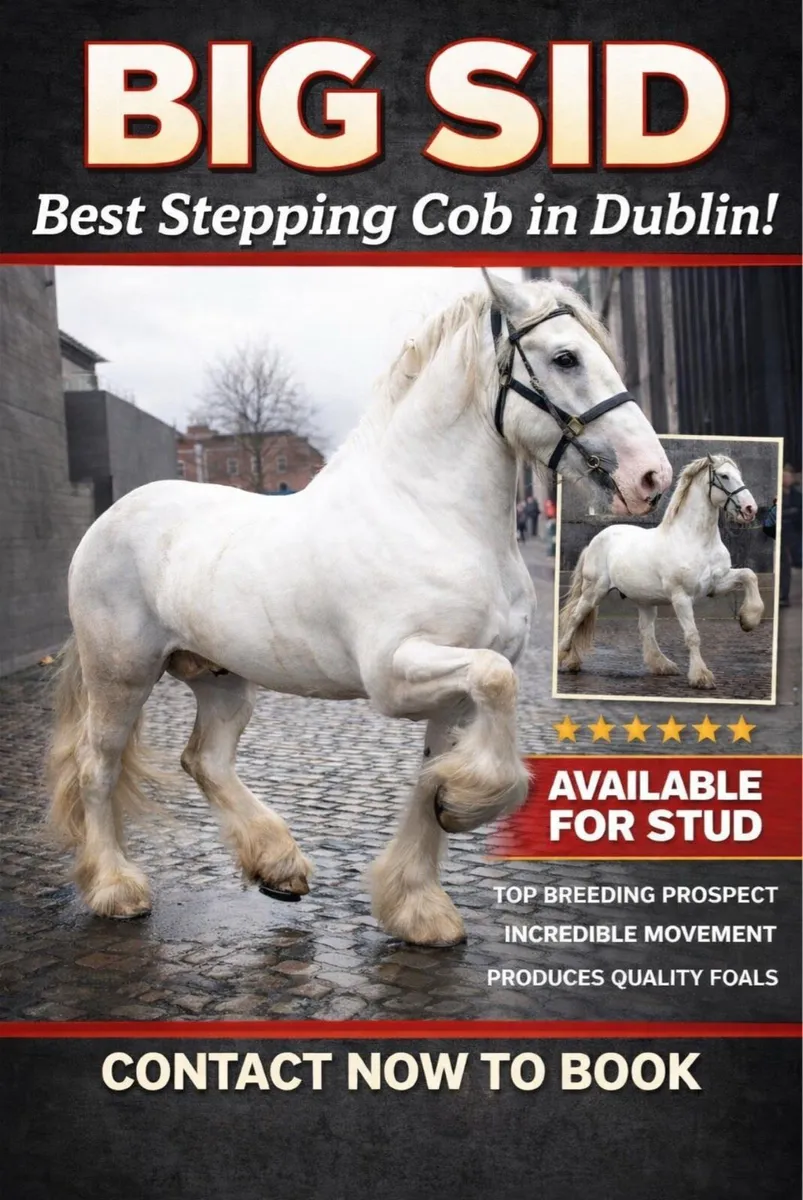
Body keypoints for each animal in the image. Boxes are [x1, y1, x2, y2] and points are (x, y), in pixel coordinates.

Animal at [47, 270, 671, 947]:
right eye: (565, 358)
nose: (652, 477)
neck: (430, 514)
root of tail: (110, 518)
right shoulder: (398, 674)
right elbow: (496, 680)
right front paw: (463, 807)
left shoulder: (451, 694)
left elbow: (435, 768)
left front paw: (420, 904)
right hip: (121, 675)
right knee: (96, 768)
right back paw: (117, 888)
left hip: (222, 678)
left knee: (204, 760)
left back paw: (278, 866)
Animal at [558, 453, 763, 691]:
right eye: (724, 476)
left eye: (739, 474)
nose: (750, 509)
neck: (695, 540)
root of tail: (594, 541)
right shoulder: (681, 596)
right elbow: (692, 635)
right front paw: (701, 677)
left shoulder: (716, 584)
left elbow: (749, 574)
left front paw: (748, 620)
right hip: (594, 592)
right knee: (575, 617)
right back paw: (565, 656)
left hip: (644, 600)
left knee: (646, 630)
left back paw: (662, 665)